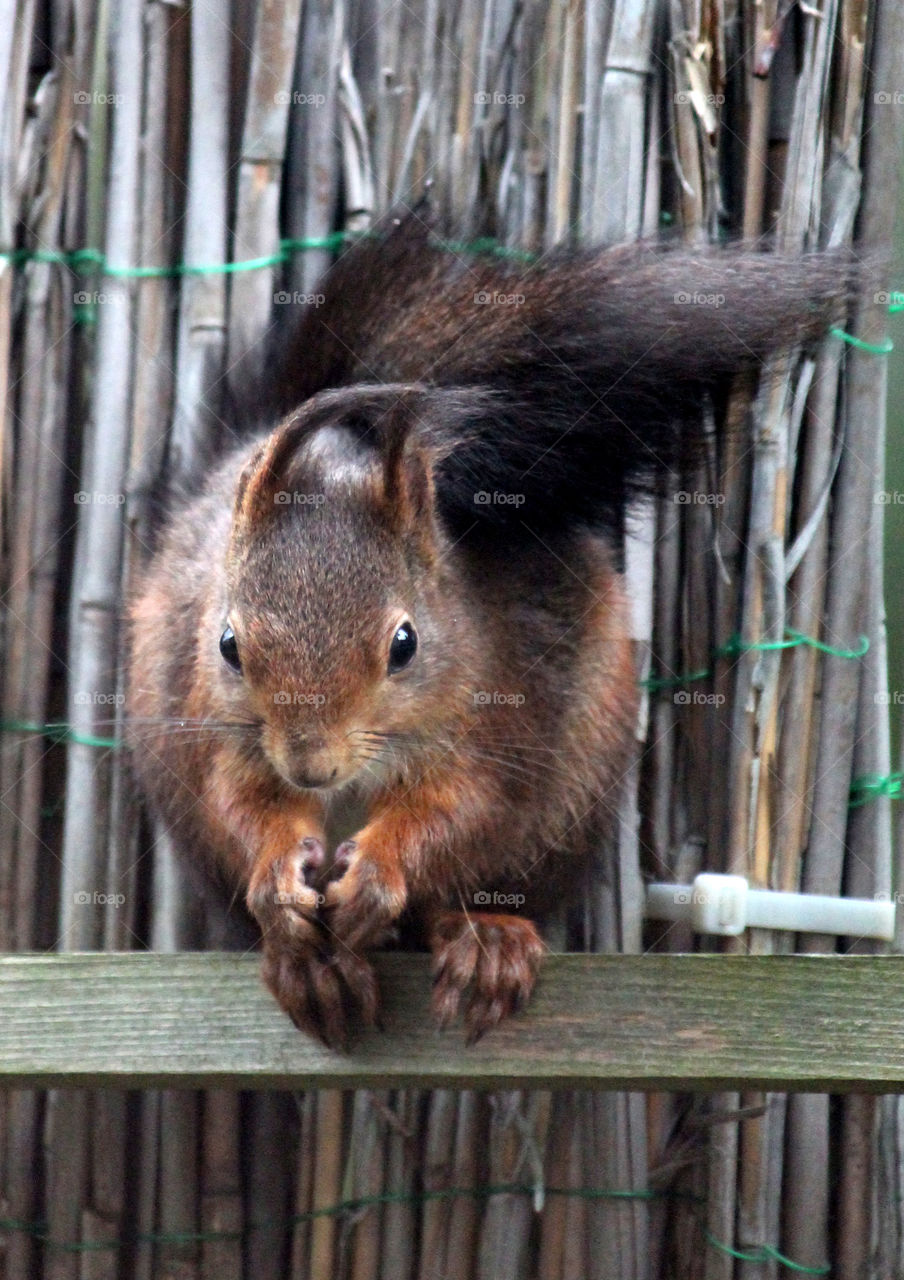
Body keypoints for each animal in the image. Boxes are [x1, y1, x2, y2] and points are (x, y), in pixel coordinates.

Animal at [127, 208, 854, 1048]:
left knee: (474, 895)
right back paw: (307, 966)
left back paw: (484, 946)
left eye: (405, 644)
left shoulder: (502, 713)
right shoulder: (221, 732)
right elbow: (239, 805)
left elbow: (463, 810)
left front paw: (381, 871)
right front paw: (278, 872)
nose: (311, 766)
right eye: (228, 645)